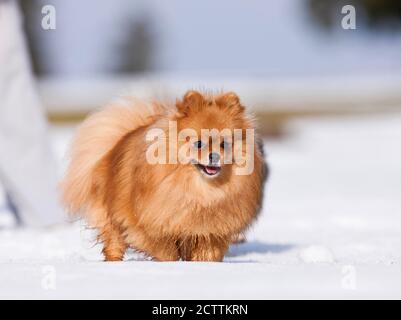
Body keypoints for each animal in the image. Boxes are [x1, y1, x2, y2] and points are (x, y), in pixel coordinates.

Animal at [62, 90, 268, 262]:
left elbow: (206, 253)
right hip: (110, 217)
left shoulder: (209, 233)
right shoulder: (148, 226)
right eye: (198, 143)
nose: (214, 156)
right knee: (114, 242)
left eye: (225, 144)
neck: (200, 191)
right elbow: (166, 250)